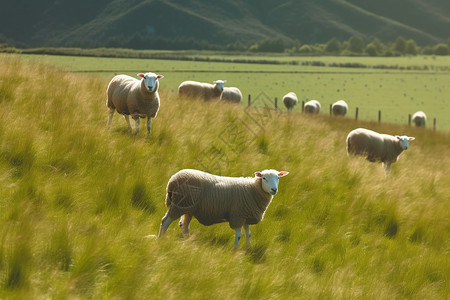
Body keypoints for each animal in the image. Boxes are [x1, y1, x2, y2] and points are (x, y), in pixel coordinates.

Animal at [158, 169, 290, 248]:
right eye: (264, 178)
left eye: (278, 178)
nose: (274, 189)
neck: (252, 189)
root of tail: (172, 180)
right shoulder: (238, 215)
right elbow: (238, 235)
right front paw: (235, 250)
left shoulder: (246, 216)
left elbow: (248, 234)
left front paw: (248, 249)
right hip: (179, 204)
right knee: (166, 221)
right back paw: (161, 239)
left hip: (188, 207)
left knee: (184, 225)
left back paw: (188, 241)